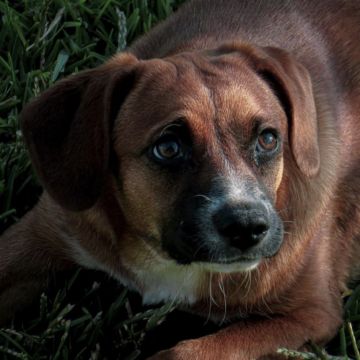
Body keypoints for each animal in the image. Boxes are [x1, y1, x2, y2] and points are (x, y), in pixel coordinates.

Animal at [0, 0, 360, 358]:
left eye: (268, 139)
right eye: (168, 147)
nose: (247, 226)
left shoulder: (312, 314)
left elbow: (184, 351)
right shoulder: (43, 234)